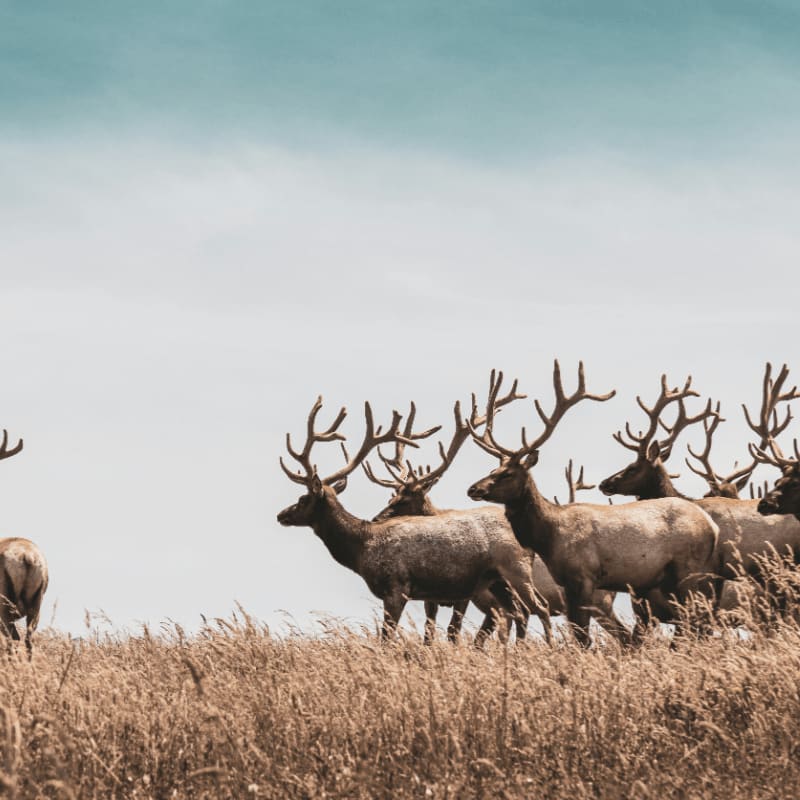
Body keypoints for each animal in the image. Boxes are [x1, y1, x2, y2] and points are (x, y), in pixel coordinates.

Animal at [277, 398, 548, 643]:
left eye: (303, 498)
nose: (281, 515)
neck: (361, 547)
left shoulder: (397, 587)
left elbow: (387, 638)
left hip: (515, 567)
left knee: (537, 608)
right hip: (497, 581)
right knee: (520, 613)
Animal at [363, 400, 626, 644]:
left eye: (404, 500)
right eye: (392, 496)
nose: (376, 519)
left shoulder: (475, 597)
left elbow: (460, 631)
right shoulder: (438, 596)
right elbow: (433, 631)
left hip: (593, 599)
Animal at [466, 362, 720, 646]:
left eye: (507, 474)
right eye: (492, 468)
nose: (473, 488)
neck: (549, 536)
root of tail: (713, 528)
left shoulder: (583, 576)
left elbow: (582, 636)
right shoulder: (567, 583)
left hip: (688, 569)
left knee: (696, 618)